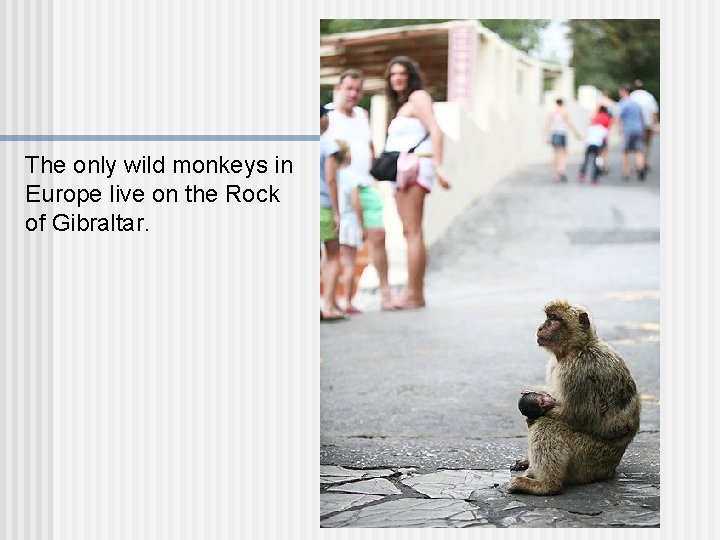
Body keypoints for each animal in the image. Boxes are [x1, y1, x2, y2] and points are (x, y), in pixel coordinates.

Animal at [506, 302, 640, 496]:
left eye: (554, 319)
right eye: (548, 317)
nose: (540, 327)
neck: (579, 347)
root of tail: (610, 469)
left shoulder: (576, 371)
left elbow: (577, 416)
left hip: (590, 459)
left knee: (546, 425)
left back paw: (546, 484)